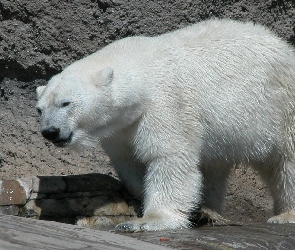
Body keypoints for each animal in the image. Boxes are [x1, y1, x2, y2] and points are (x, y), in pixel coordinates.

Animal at [35, 18, 295, 231]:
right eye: (40, 109)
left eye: (66, 103)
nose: (50, 131)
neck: (142, 69)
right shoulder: (120, 129)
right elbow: (132, 164)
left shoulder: (166, 104)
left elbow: (168, 157)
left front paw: (148, 220)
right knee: (213, 166)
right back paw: (207, 211)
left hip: (281, 106)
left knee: (287, 160)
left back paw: (285, 215)